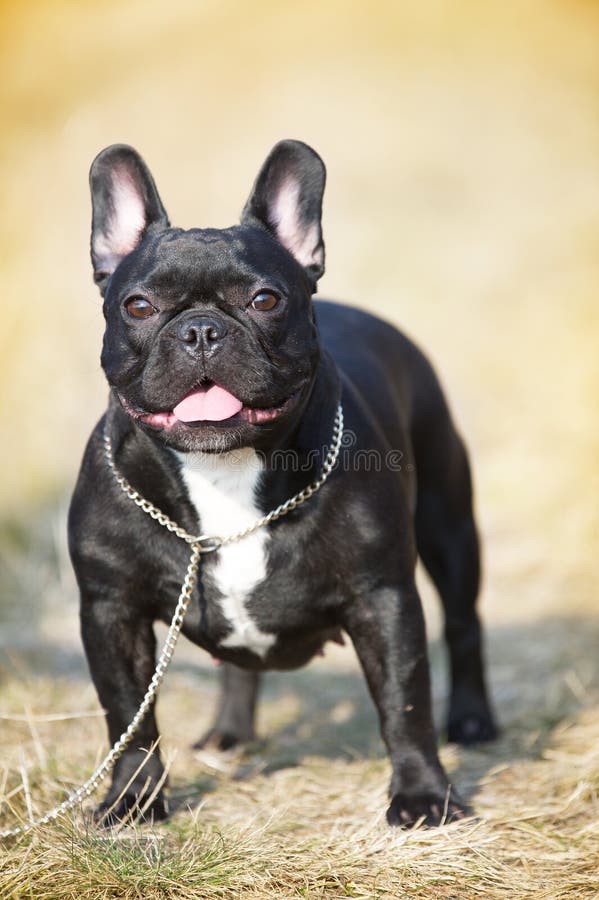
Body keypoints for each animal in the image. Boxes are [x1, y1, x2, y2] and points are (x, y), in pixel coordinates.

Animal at [68, 139, 496, 824]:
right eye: (138, 306)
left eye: (265, 300)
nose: (201, 329)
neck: (224, 469)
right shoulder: (111, 612)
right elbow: (129, 717)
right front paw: (133, 799)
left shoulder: (383, 598)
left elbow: (405, 705)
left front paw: (423, 796)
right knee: (235, 668)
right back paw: (230, 732)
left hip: (448, 523)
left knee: (463, 621)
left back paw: (475, 721)